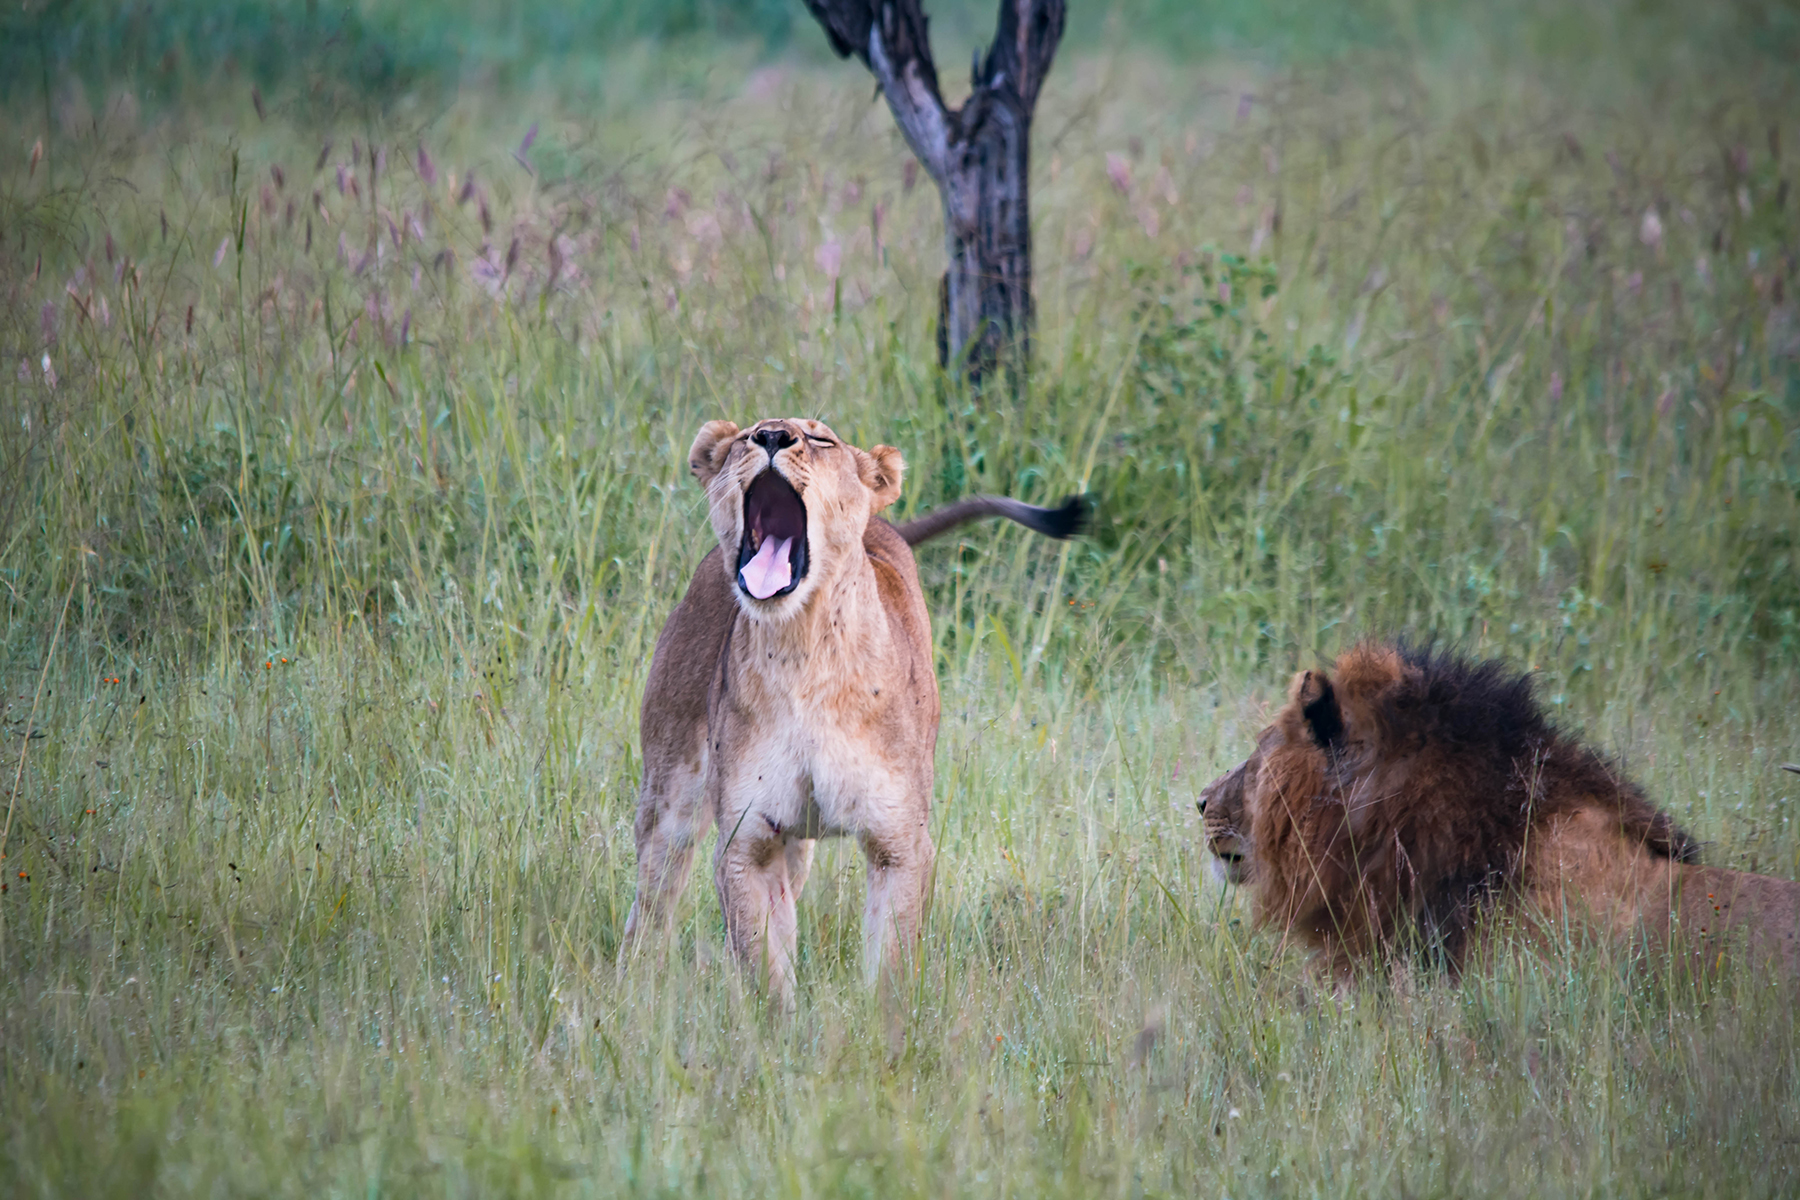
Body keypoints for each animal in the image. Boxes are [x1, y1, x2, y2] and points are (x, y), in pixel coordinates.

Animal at [626, 417, 1087, 1007]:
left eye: (820, 440)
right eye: (747, 435)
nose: (772, 436)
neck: (802, 652)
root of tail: (882, 524)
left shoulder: (899, 842)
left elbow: (891, 963)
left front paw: (884, 1029)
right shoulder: (746, 843)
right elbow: (763, 967)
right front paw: (777, 1025)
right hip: (670, 791)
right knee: (654, 894)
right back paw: (632, 987)